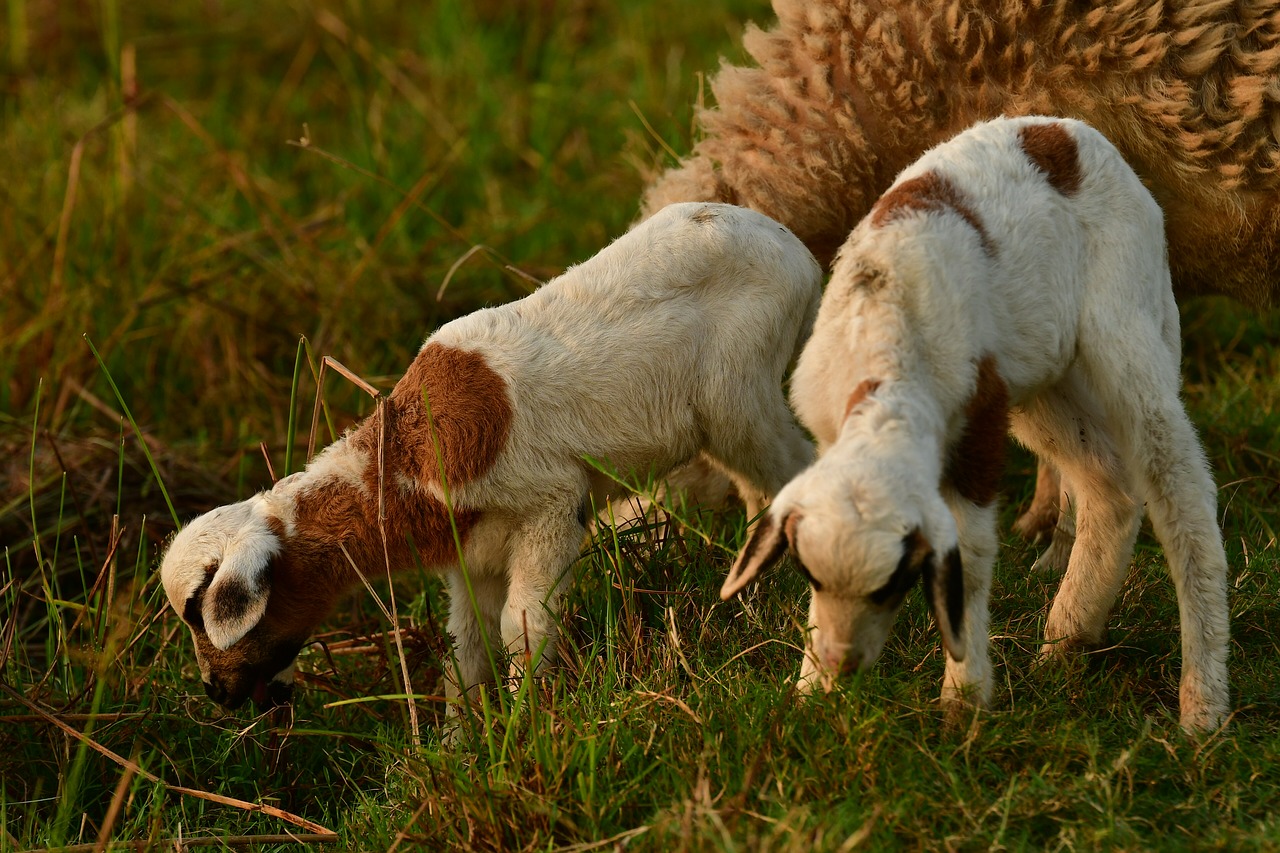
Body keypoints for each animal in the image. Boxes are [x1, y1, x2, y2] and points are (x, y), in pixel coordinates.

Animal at [160, 204, 819, 712]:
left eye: (200, 611)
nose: (216, 693)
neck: (403, 464)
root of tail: (796, 251)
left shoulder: (553, 506)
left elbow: (522, 630)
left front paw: (528, 729)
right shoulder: (469, 552)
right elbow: (467, 648)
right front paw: (458, 744)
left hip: (742, 395)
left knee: (796, 466)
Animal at [721, 114, 1228, 732]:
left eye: (895, 584)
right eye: (809, 575)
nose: (843, 667)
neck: (888, 366)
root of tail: (1066, 130)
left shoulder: (979, 436)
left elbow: (973, 554)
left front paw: (964, 702)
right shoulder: (830, 436)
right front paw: (809, 692)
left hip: (1127, 318)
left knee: (1181, 490)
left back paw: (1203, 706)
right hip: (1041, 378)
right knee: (1108, 487)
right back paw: (1066, 642)